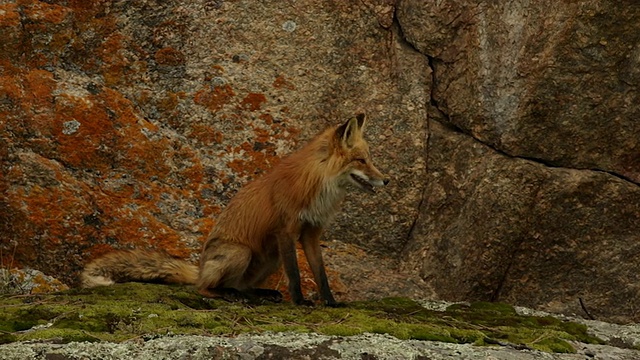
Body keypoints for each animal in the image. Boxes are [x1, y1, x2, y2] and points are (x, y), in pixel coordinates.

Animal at [82, 114, 388, 306]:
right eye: (361, 161)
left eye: (370, 159)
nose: (386, 180)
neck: (317, 185)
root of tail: (200, 268)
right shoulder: (286, 230)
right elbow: (296, 274)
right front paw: (300, 301)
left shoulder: (311, 232)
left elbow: (320, 273)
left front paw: (331, 302)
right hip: (241, 252)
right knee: (204, 288)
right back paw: (229, 295)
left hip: (270, 258)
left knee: (243, 286)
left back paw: (256, 295)